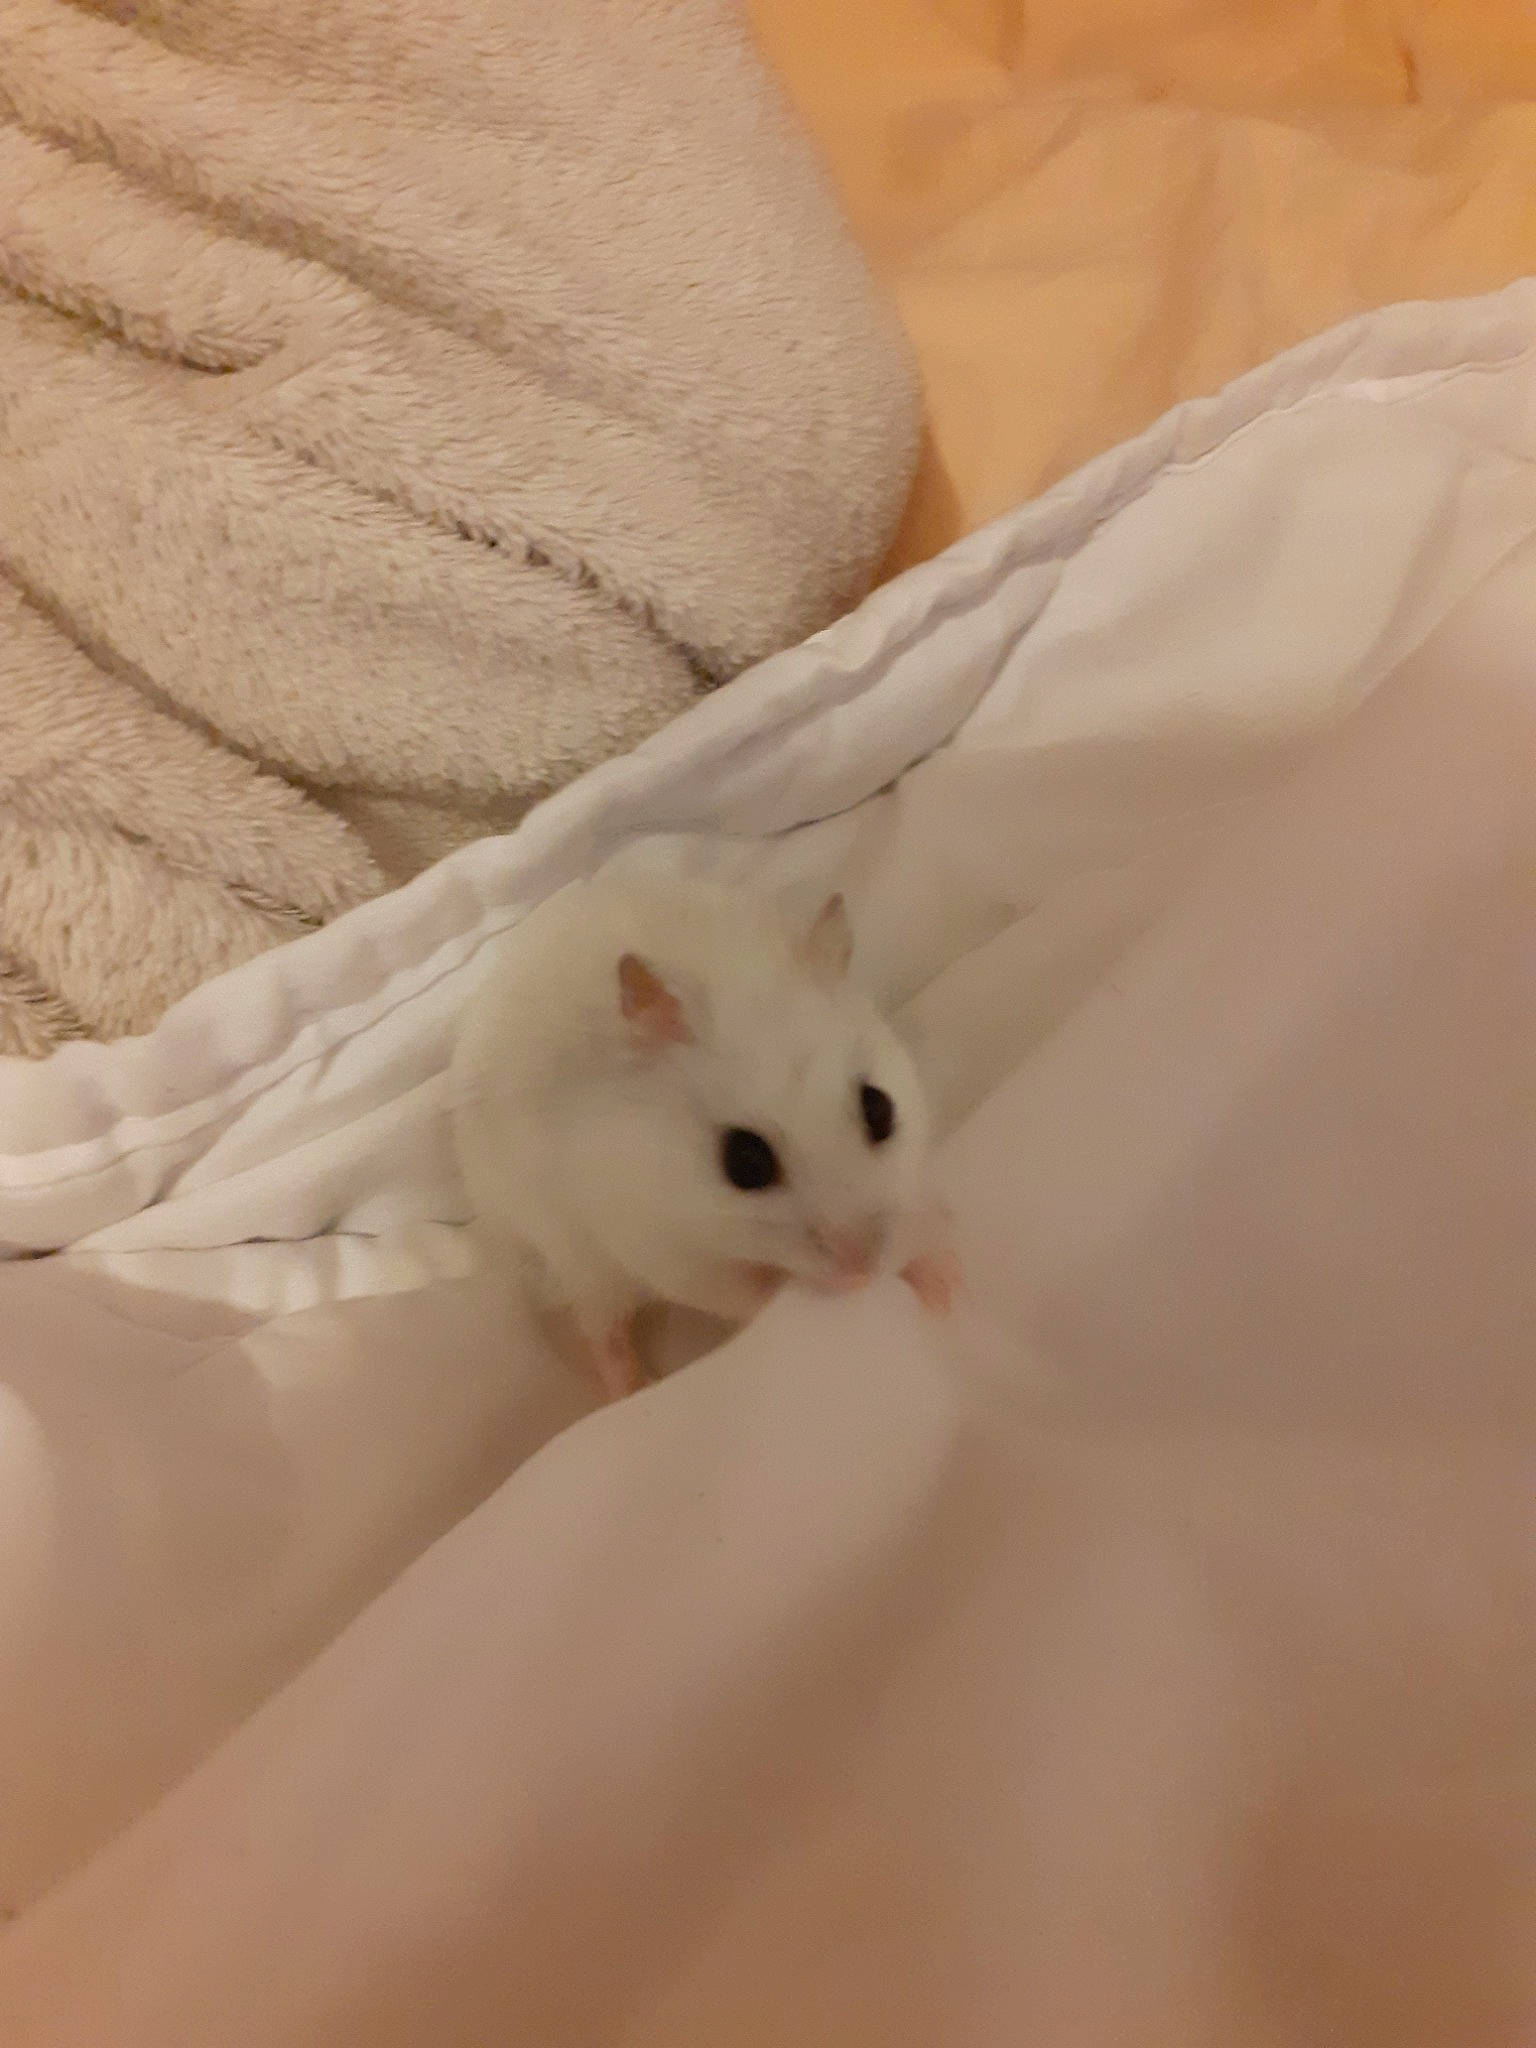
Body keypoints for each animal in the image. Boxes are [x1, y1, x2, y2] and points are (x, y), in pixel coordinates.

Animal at [449, 852, 959, 1401]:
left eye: (879, 1108)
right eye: (745, 1162)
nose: (863, 1273)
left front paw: (945, 1291)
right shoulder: (662, 1249)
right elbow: (736, 1292)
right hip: (576, 1264)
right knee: (602, 1334)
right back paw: (637, 1388)